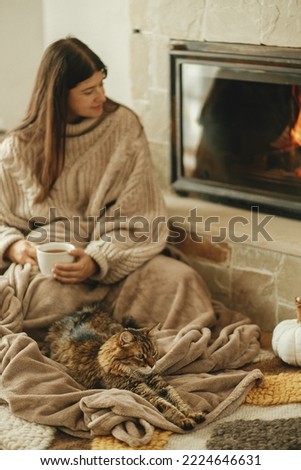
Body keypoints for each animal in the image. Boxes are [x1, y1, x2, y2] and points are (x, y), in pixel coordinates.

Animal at [44, 302, 205, 430]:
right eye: (140, 356)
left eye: (153, 353)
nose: (152, 365)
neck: (137, 373)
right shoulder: (140, 391)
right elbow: (167, 406)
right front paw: (184, 420)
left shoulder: (161, 386)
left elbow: (178, 400)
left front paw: (193, 414)